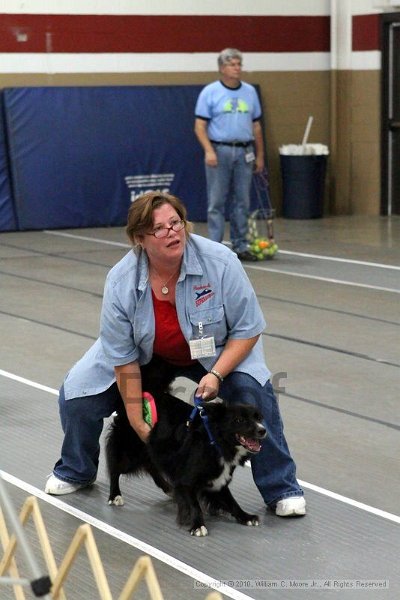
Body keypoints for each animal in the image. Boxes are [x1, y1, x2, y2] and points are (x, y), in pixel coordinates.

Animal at [108, 356, 268, 536]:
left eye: (258, 418)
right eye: (239, 420)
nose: (263, 430)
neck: (214, 441)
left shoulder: (218, 481)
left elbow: (231, 501)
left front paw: (246, 517)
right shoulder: (187, 480)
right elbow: (194, 505)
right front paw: (198, 526)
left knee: (151, 466)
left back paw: (168, 487)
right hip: (130, 450)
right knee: (115, 468)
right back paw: (115, 496)